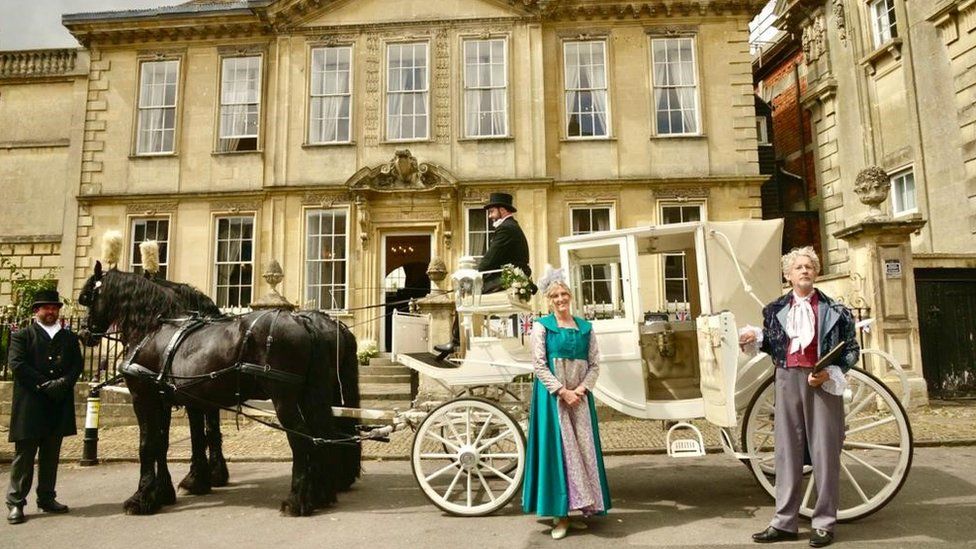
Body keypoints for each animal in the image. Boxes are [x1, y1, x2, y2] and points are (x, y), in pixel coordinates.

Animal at [79, 262, 362, 512]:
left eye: (87, 297)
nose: (83, 334)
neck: (152, 329)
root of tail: (305, 323)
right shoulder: (172, 399)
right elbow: (168, 442)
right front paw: (165, 491)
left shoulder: (146, 397)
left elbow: (153, 443)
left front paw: (144, 497)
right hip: (311, 395)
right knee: (323, 435)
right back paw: (322, 493)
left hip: (285, 398)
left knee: (302, 438)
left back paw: (298, 500)